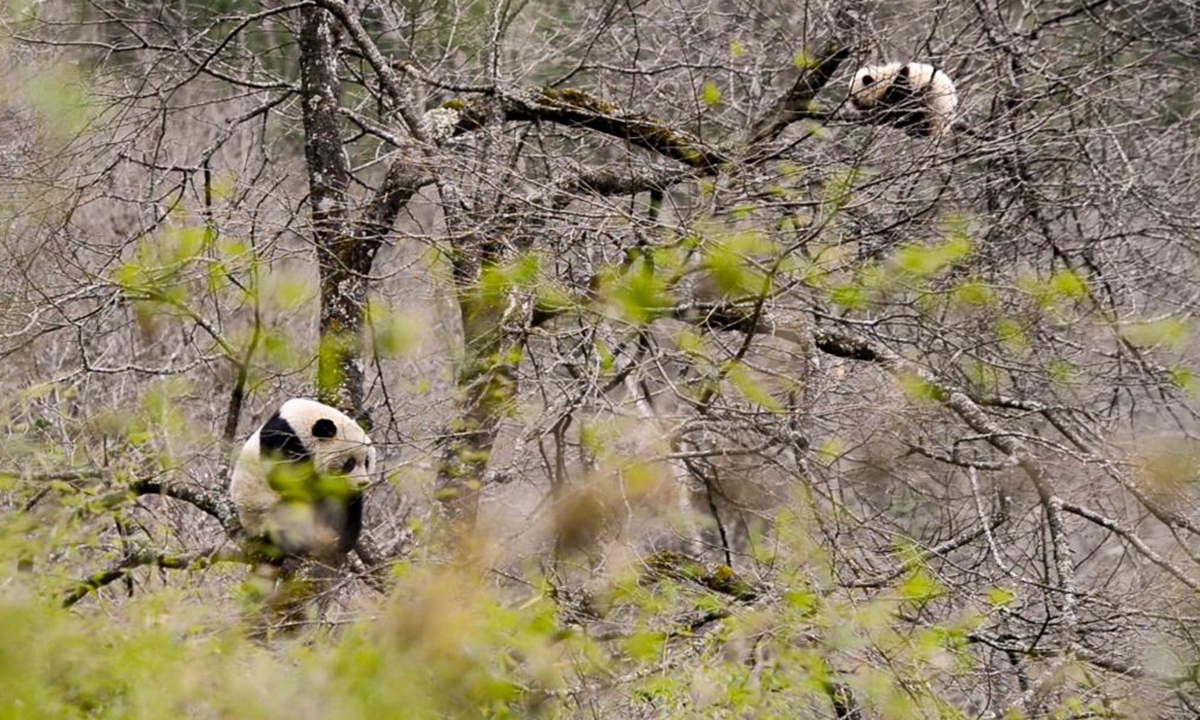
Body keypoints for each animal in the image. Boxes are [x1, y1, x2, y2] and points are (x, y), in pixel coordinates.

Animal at [230, 398, 375, 564]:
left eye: (366, 462)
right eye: (349, 464)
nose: (362, 483)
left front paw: (345, 540)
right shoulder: (282, 442)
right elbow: (288, 482)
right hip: (264, 511)